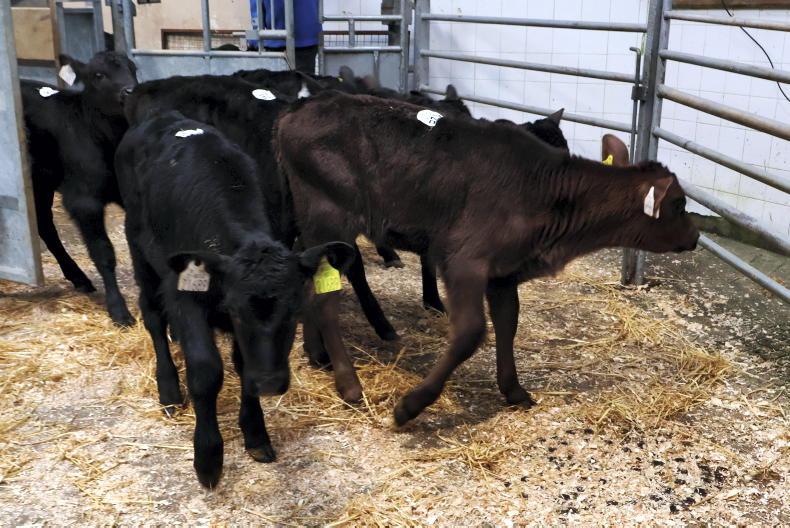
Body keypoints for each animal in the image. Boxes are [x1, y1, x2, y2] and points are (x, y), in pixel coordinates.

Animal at [21, 51, 138, 326]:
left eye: (133, 68)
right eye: (98, 74)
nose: (131, 91)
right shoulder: (84, 201)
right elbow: (103, 253)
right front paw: (119, 310)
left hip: (42, 181)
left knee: (44, 225)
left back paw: (78, 277)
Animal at [115, 111, 353, 488]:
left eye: (295, 312)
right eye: (236, 312)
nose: (269, 383)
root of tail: (164, 116)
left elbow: (243, 365)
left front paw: (255, 434)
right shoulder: (183, 294)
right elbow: (205, 370)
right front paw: (208, 456)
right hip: (139, 249)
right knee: (151, 315)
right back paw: (168, 390)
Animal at [274, 91, 700, 422]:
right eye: (679, 204)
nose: (696, 236)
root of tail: (300, 110)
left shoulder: (504, 272)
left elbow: (508, 323)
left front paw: (513, 390)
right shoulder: (464, 260)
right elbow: (470, 332)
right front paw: (411, 405)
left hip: (312, 225)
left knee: (308, 282)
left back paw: (318, 355)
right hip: (330, 218)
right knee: (327, 298)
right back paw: (348, 383)